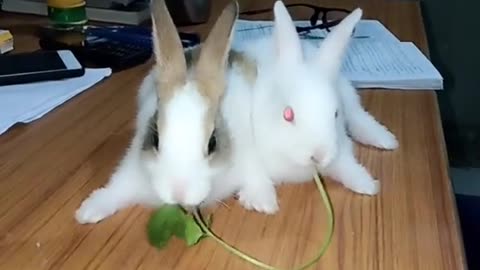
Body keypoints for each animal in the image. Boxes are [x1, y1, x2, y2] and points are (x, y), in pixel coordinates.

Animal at [228, 1, 398, 214]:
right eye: (288, 114)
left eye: (335, 114)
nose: (319, 155)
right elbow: (254, 173)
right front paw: (262, 202)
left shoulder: (340, 148)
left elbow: (347, 166)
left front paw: (367, 185)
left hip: (348, 96)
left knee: (360, 118)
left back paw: (386, 141)